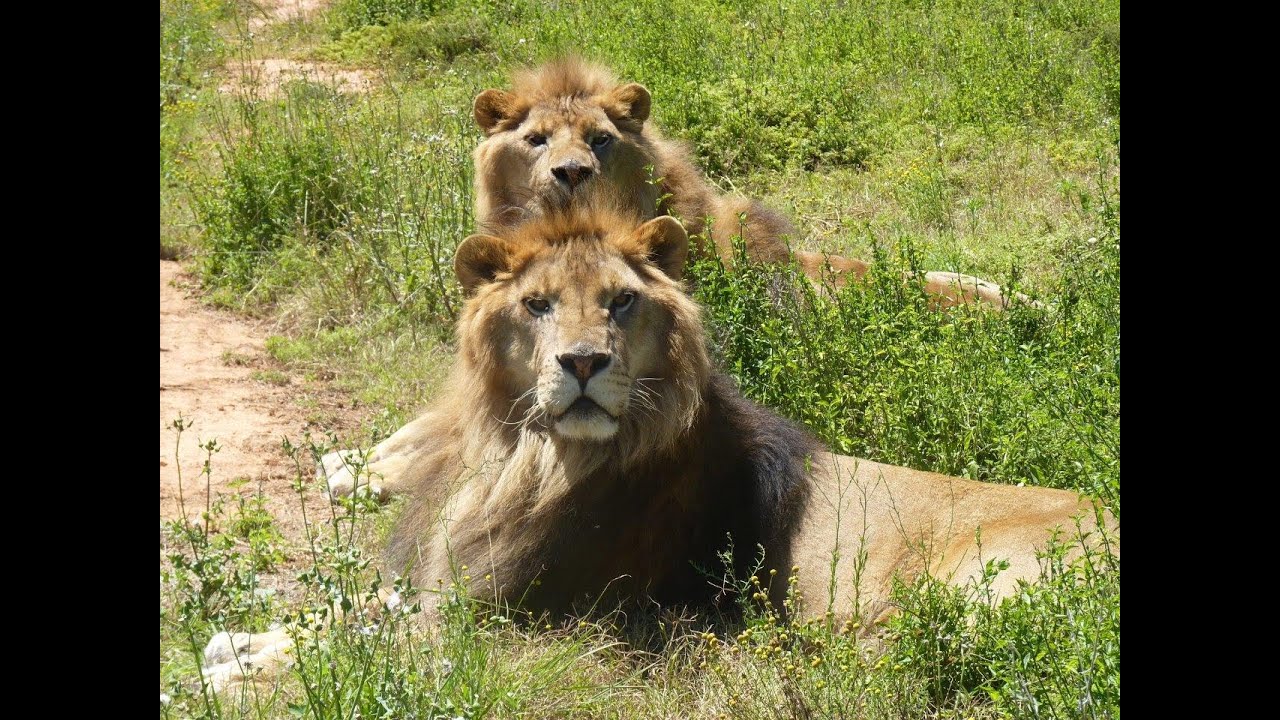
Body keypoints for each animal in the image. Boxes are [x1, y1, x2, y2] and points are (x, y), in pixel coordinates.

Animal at [205, 203, 1113, 691]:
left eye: (620, 302)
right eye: (537, 305)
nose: (582, 363)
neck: (522, 462)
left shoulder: (518, 618)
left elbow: (372, 642)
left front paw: (243, 670)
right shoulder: (452, 582)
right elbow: (357, 610)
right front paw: (247, 639)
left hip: (970, 578)